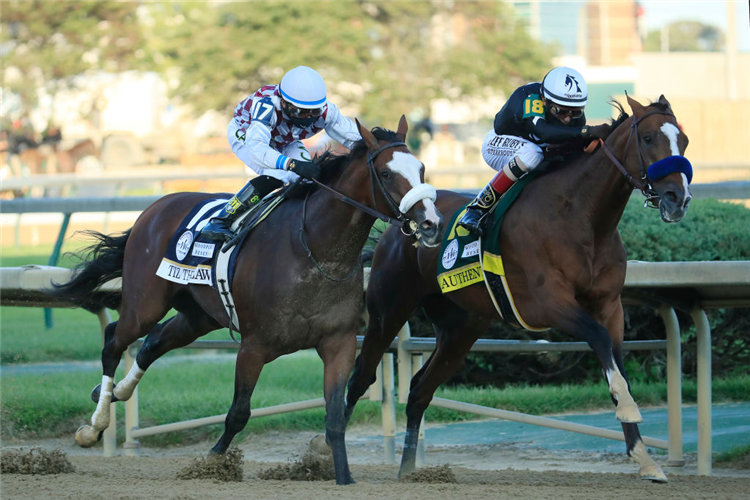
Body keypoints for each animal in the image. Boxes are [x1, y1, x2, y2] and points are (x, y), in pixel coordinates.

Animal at [53, 117, 444, 484]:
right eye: (386, 173)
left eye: (422, 168)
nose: (431, 223)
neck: (315, 250)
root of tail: (156, 206)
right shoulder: (254, 346)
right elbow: (238, 413)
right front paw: (212, 462)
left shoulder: (339, 342)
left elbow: (335, 417)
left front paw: (344, 477)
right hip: (146, 303)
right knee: (114, 340)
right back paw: (94, 425)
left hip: (198, 315)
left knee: (151, 344)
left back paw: (115, 392)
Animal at [346, 95, 692, 482]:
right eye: (647, 138)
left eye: (684, 140)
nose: (678, 198)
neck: (581, 217)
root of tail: (402, 225)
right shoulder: (548, 304)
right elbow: (599, 339)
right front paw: (629, 408)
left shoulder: (609, 304)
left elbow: (616, 357)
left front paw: (645, 458)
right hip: (388, 312)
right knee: (360, 377)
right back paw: (328, 454)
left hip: (460, 329)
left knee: (420, 390)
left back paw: (408, 470)